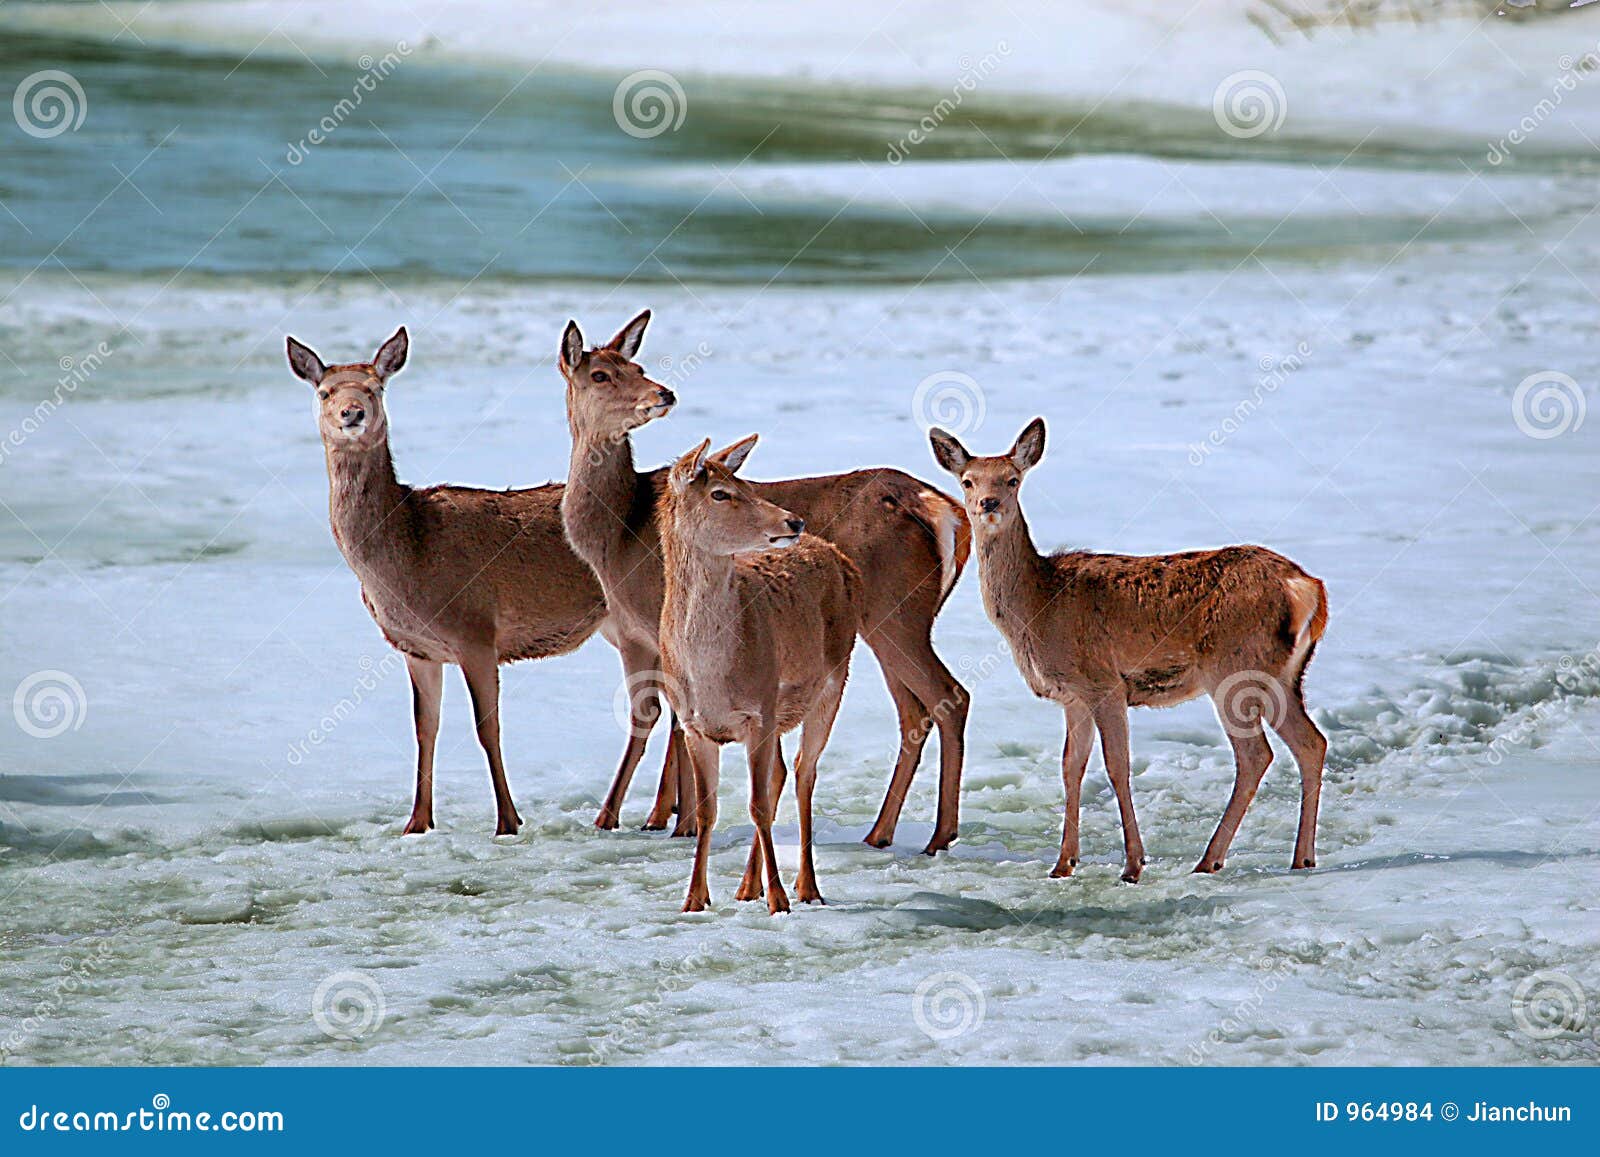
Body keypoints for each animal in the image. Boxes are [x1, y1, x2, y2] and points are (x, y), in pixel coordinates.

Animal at [283, 329, 662, 838]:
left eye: (376, 388)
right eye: (324, 392)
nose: (352, 413)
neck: (408, 561)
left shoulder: (476, 630)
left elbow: (488, 727)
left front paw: (508, 820)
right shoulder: (418, 649)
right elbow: (425, 727)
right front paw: (417, 822)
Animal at [556, 312, 966, 857]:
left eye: (637, 367)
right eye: (601, 374)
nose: (663, 393)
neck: (617, 537)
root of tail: (945, 512)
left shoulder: (650, 626)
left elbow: (657, 717)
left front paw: (652, 819)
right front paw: (664, 815)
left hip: (894, 610)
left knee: (949, 697)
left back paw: (938, 835)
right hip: (895, 620)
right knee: (913, 711)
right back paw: (881, 832)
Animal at [659, 435, 870, 915]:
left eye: (747, 483)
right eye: (721, 493)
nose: (793, 520)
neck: (710, 674)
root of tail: (839, 555)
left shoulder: (758, 712)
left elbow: (756, 805)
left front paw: (779, 900)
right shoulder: (694, 724)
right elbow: (708, 810)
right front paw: (694, 898)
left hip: (831, 683)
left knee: (804, 772)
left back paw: (805, 887)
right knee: (780, 774)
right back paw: (746, 886)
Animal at [928, 422, 1324, 883]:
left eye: (1012, 479)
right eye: (967, 481)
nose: (988, 504)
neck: (1039, 605)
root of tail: (1307, 588)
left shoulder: (1105, 683)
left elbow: (1117, 766)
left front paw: (1133, 864)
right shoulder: (1073, 696)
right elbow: (1071, 768)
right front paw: (1063, 864)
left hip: (1234, 669)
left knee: (1257, 755)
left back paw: (1210, 859)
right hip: (1281, 675)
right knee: (1311, 743)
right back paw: (1301, 858)